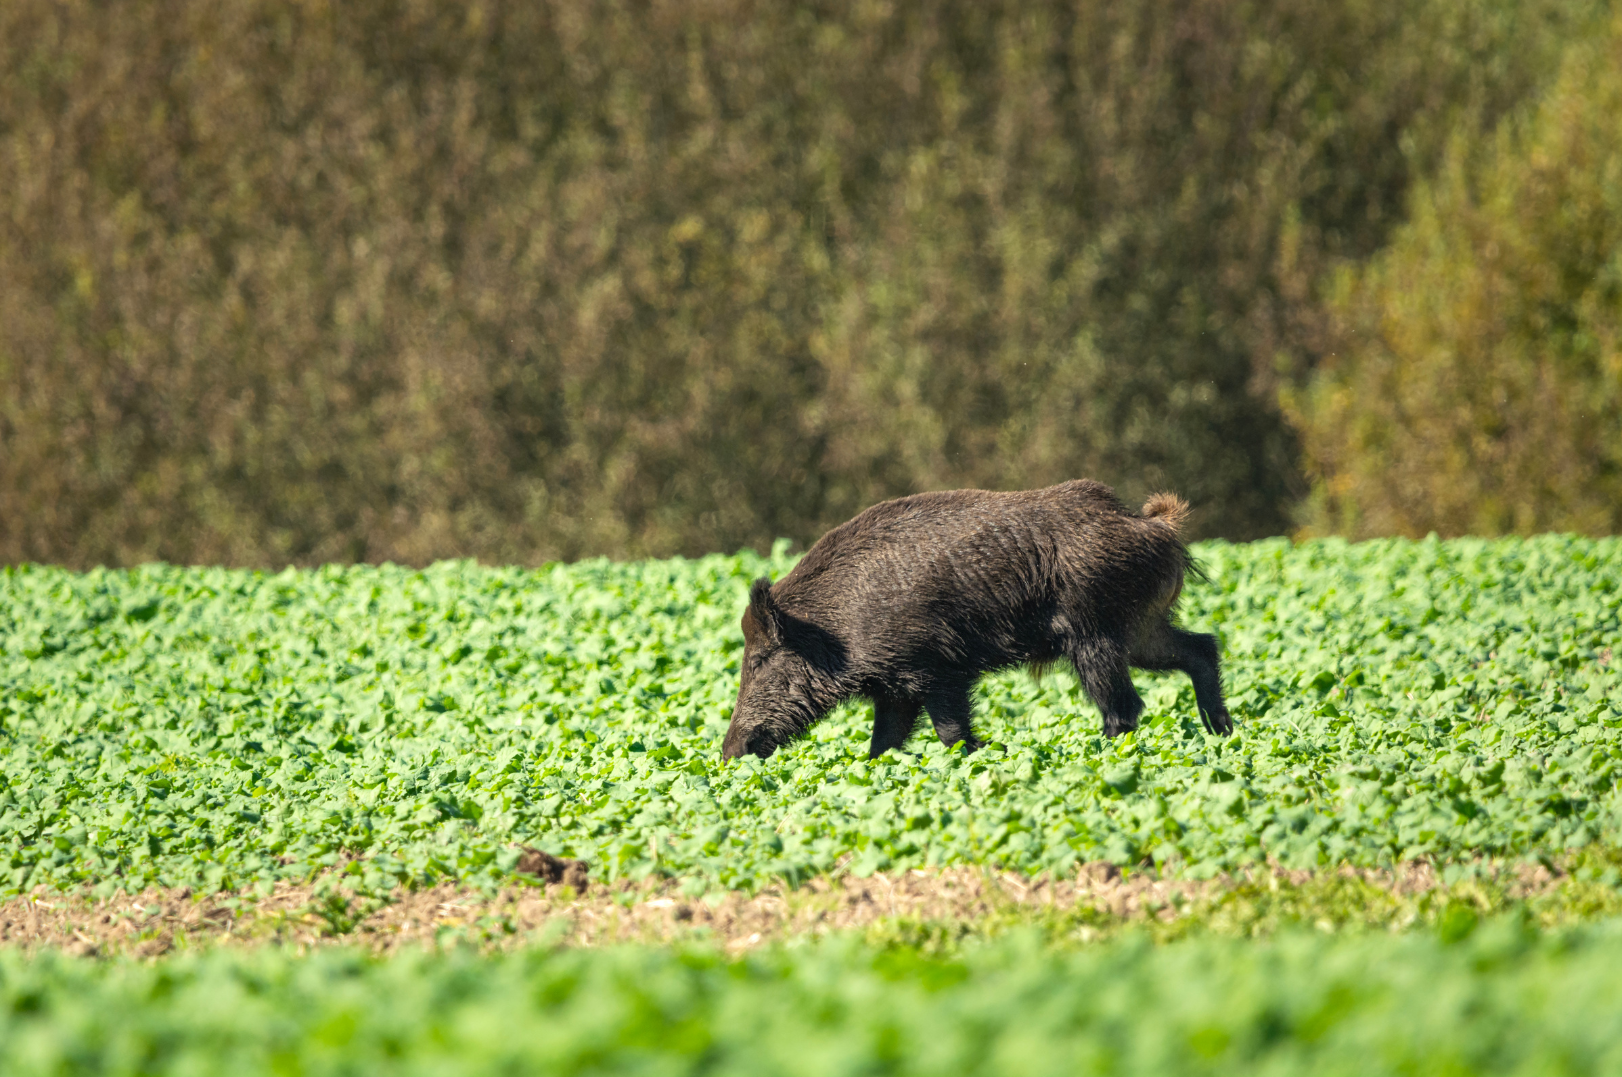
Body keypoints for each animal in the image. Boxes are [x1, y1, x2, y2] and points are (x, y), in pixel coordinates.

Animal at [720, 479, 1233, 760]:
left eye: (759, 661)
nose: (728, 752)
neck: (835, 631)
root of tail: (1152, 524)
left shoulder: (937, 669)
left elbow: (949, 731)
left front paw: (980, 757)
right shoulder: (897, 687)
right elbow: (884, 743)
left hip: (1095, 634)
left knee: (1125, 706)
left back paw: (1103, 751)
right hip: (1141, 628)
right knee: (1201, 647)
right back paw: (1221, 731)